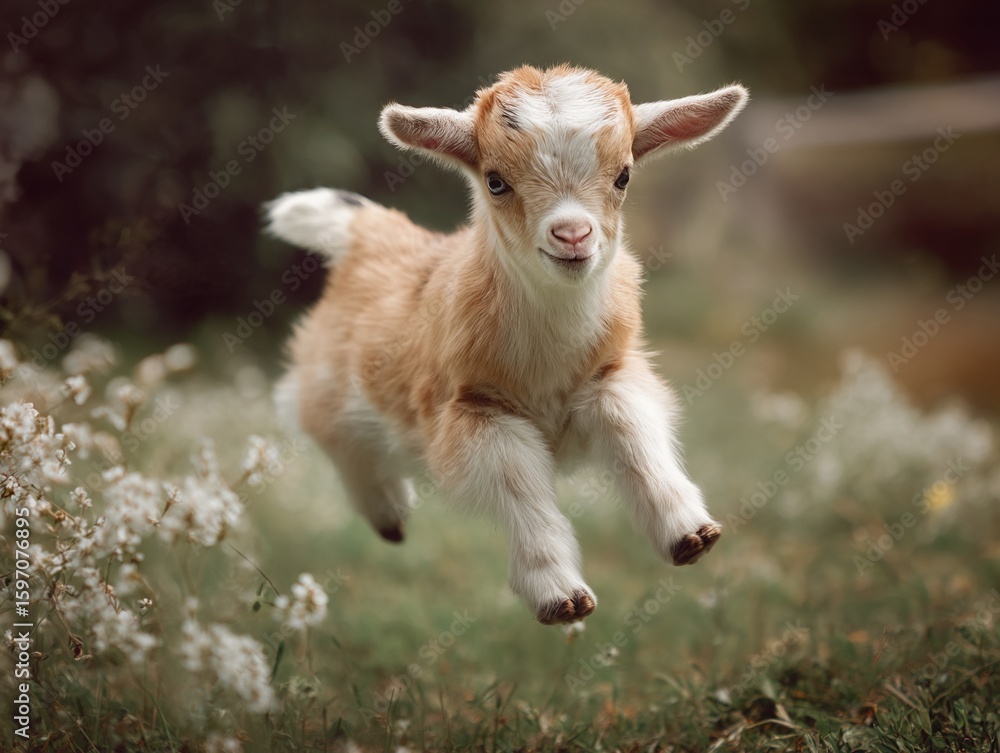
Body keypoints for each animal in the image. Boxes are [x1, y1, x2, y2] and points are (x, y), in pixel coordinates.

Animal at [266, 65, 748, 625]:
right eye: (496, 181)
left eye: (624, 176)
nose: (572, 235)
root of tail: (372, 233)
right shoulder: (476, 412)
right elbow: (519, 486)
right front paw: (561, 597)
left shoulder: (611, 373)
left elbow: (633, 429)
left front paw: (691, 536)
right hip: (331, 381)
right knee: (324, 426)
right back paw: (389, 514)